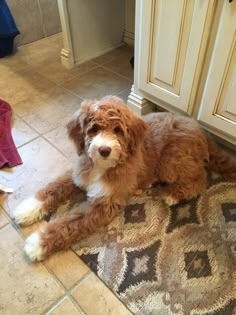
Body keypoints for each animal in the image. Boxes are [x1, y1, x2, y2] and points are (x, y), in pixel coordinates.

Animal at [12, 95, 236, 262]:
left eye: (118, 130)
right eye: (94, 129)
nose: (104, 150)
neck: (102, 167)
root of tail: (202, 130)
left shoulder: (105, 203)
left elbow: (70, 223)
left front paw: (37, 243)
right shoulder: (78, 174)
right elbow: (54, 187)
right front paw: (28, 208)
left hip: (170, 161)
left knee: (201, 178)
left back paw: (173, 194)